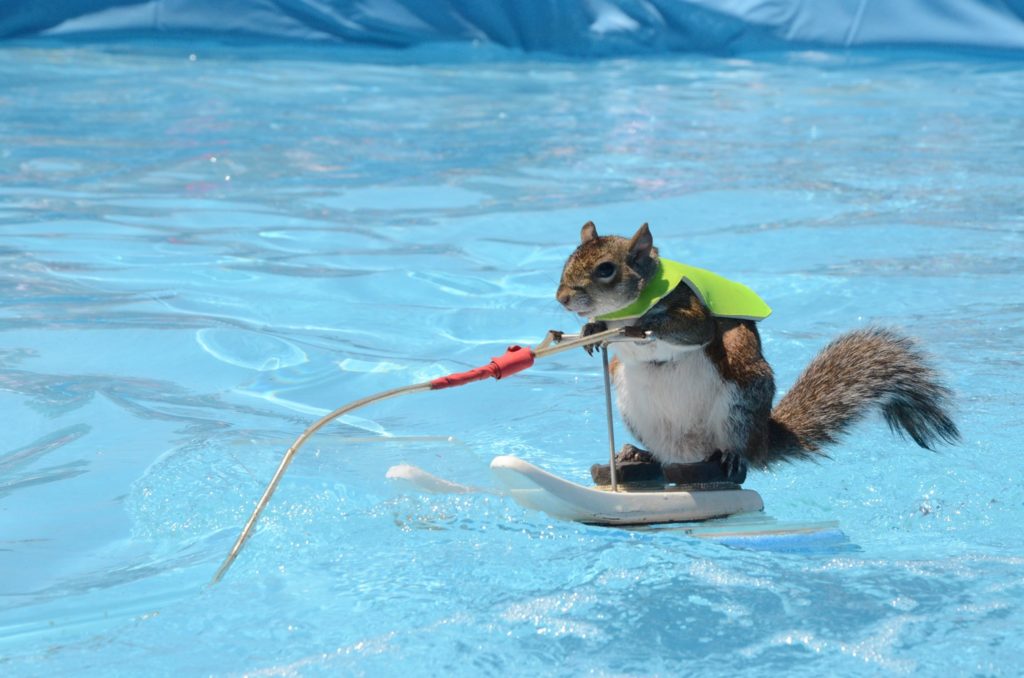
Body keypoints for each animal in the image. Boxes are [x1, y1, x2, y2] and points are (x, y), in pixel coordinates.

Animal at [556, 221, 960, 480]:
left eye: (606, 269)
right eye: (568, 260)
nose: (561, 298)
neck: (625, 308)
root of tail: (762, 441)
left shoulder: (692, 312)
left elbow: (691, 329)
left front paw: (637, 328)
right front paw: (590, 330)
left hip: (739, 401)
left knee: (737, 451)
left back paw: (732, 458)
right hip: (636, 408)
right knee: (665, 454)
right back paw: (636, 454)